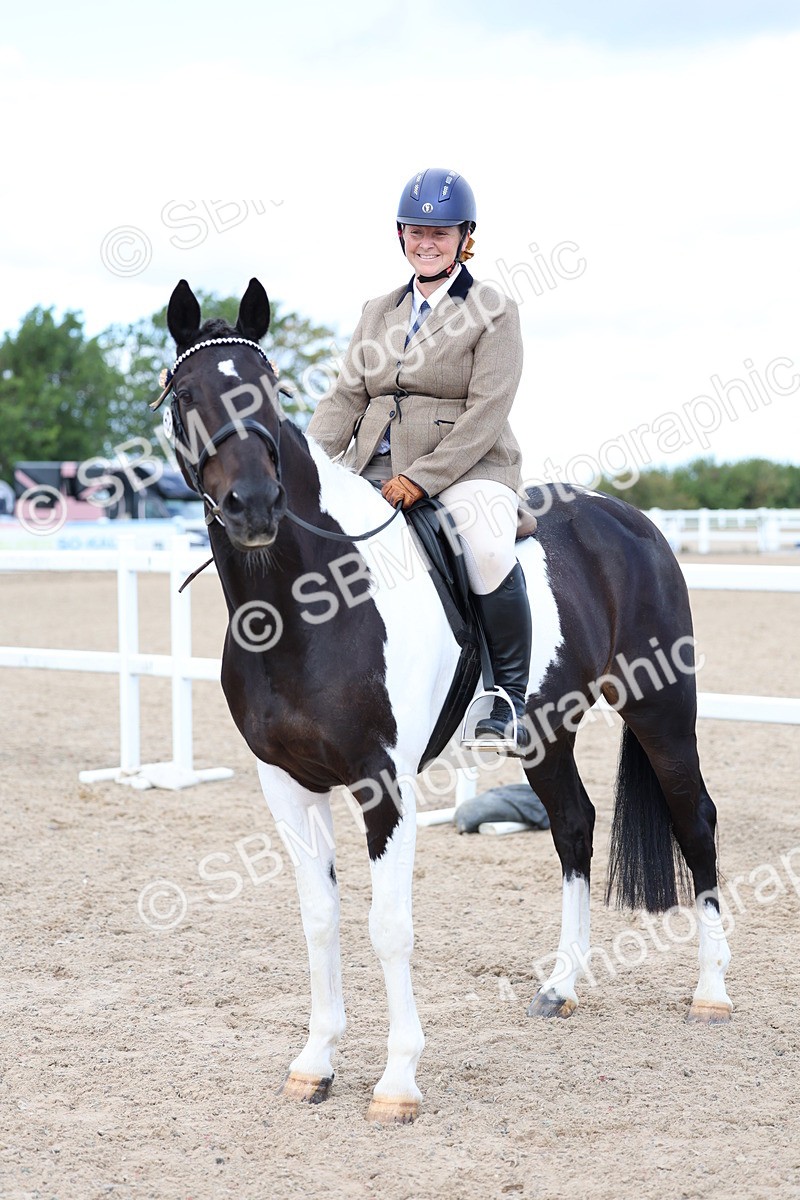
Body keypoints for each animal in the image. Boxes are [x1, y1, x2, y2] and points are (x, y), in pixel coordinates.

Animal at [157, 277, 732, 1124]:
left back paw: (712, 992)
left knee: (696, 822)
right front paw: (315, 1063)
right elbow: (319, 919)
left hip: (661, 710)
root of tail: (628, 520)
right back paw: (560, 986)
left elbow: (389, 926)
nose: (254, 506)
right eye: (186, 393)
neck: (306, 602)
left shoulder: (382, 782)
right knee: (574, 826)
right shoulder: (285, 783)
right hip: (544, 731)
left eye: (270, 390)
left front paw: (397, 1081)